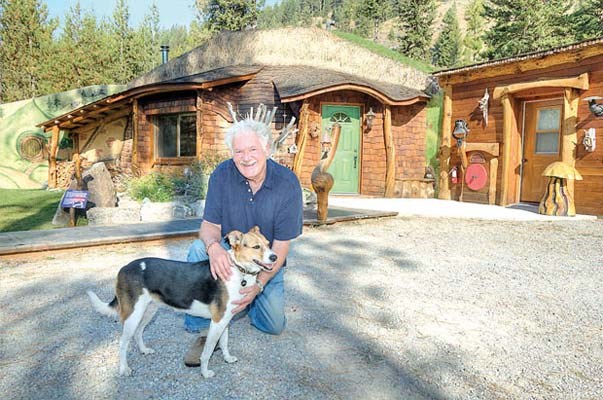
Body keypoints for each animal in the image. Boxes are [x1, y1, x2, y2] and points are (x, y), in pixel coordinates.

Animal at [86, 228, 278, 378]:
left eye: (268, 244)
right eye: (256, 247)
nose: (275, 257)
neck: (239, 271)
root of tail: (123, 268)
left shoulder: (225, 320)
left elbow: (224, 343)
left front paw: (227, 358)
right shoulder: (217, 322)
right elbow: (207, 351)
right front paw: (205, 372)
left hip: (149, 310)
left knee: (138, 332)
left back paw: (144, 350)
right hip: (133, 314)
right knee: (122, 343)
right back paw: (124, 369)